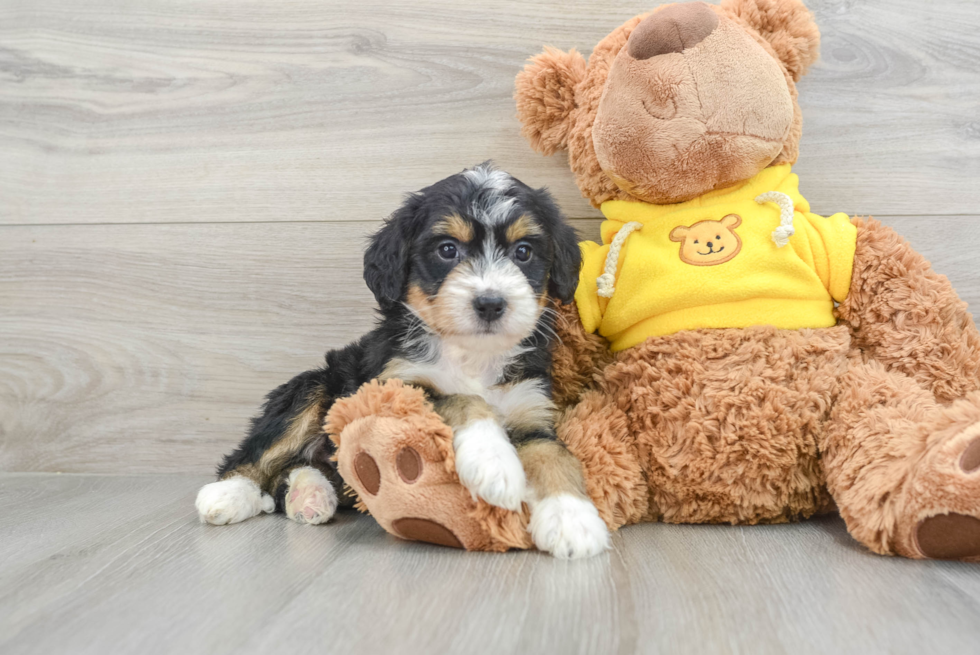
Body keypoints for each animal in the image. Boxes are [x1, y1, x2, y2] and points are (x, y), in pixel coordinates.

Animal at [195, 163, 608, 560]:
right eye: (447, 250)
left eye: (523, 252)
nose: (490, 303)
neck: (472, 354)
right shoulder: (391, 387)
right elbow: (461, 399)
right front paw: (493, 463)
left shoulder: (530, 411)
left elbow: (555, 455)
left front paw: (573, 520)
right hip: (310, 387)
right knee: (253, 455)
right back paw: (228, 495)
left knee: (297, 468)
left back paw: (309, 496)